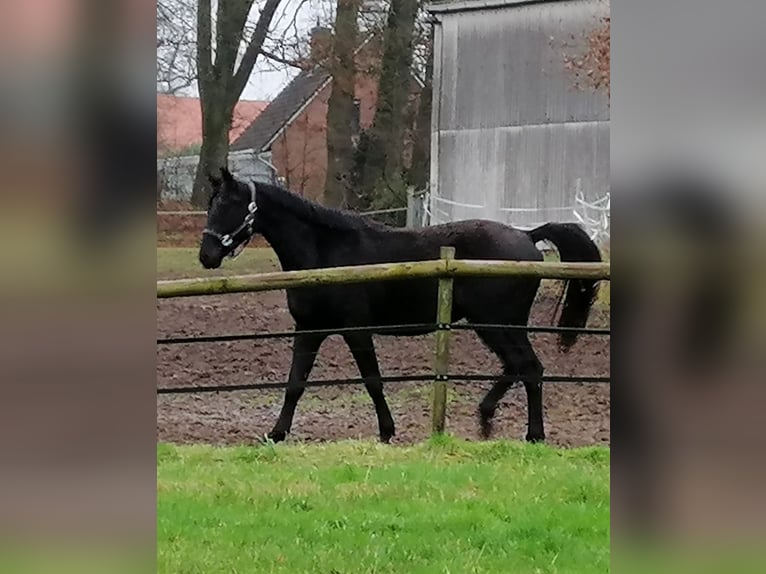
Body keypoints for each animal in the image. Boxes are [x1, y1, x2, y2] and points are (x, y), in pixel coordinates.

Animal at [200, 168, 608, 446]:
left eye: (230, 204)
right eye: (210, 205)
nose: (206, 256)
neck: (325, 253)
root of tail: (527, 236)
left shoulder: (356, 330)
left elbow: (373, 381)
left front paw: (386, 432)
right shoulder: (310, 330)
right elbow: (294, 384)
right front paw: (276, 433)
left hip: (497, 323)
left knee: (530, 368)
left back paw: (532, 434)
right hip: (494, 325)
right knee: (517, 367)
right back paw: (486, 418)